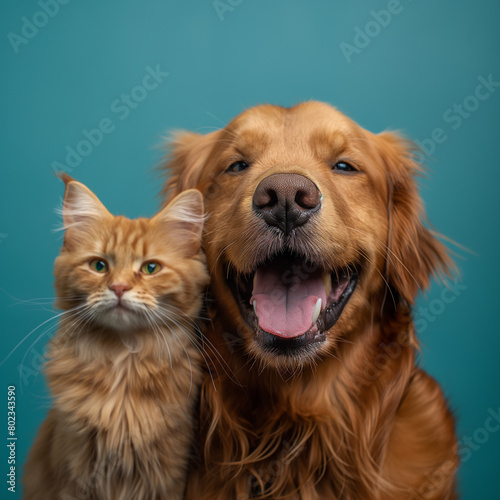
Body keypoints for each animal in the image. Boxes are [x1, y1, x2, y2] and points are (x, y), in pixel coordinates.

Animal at [23, 174, 207, 498]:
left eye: (150, 268)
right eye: (99, 266)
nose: (119, 287)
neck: (123, 360)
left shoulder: (169, 476)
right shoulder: (72, 476)